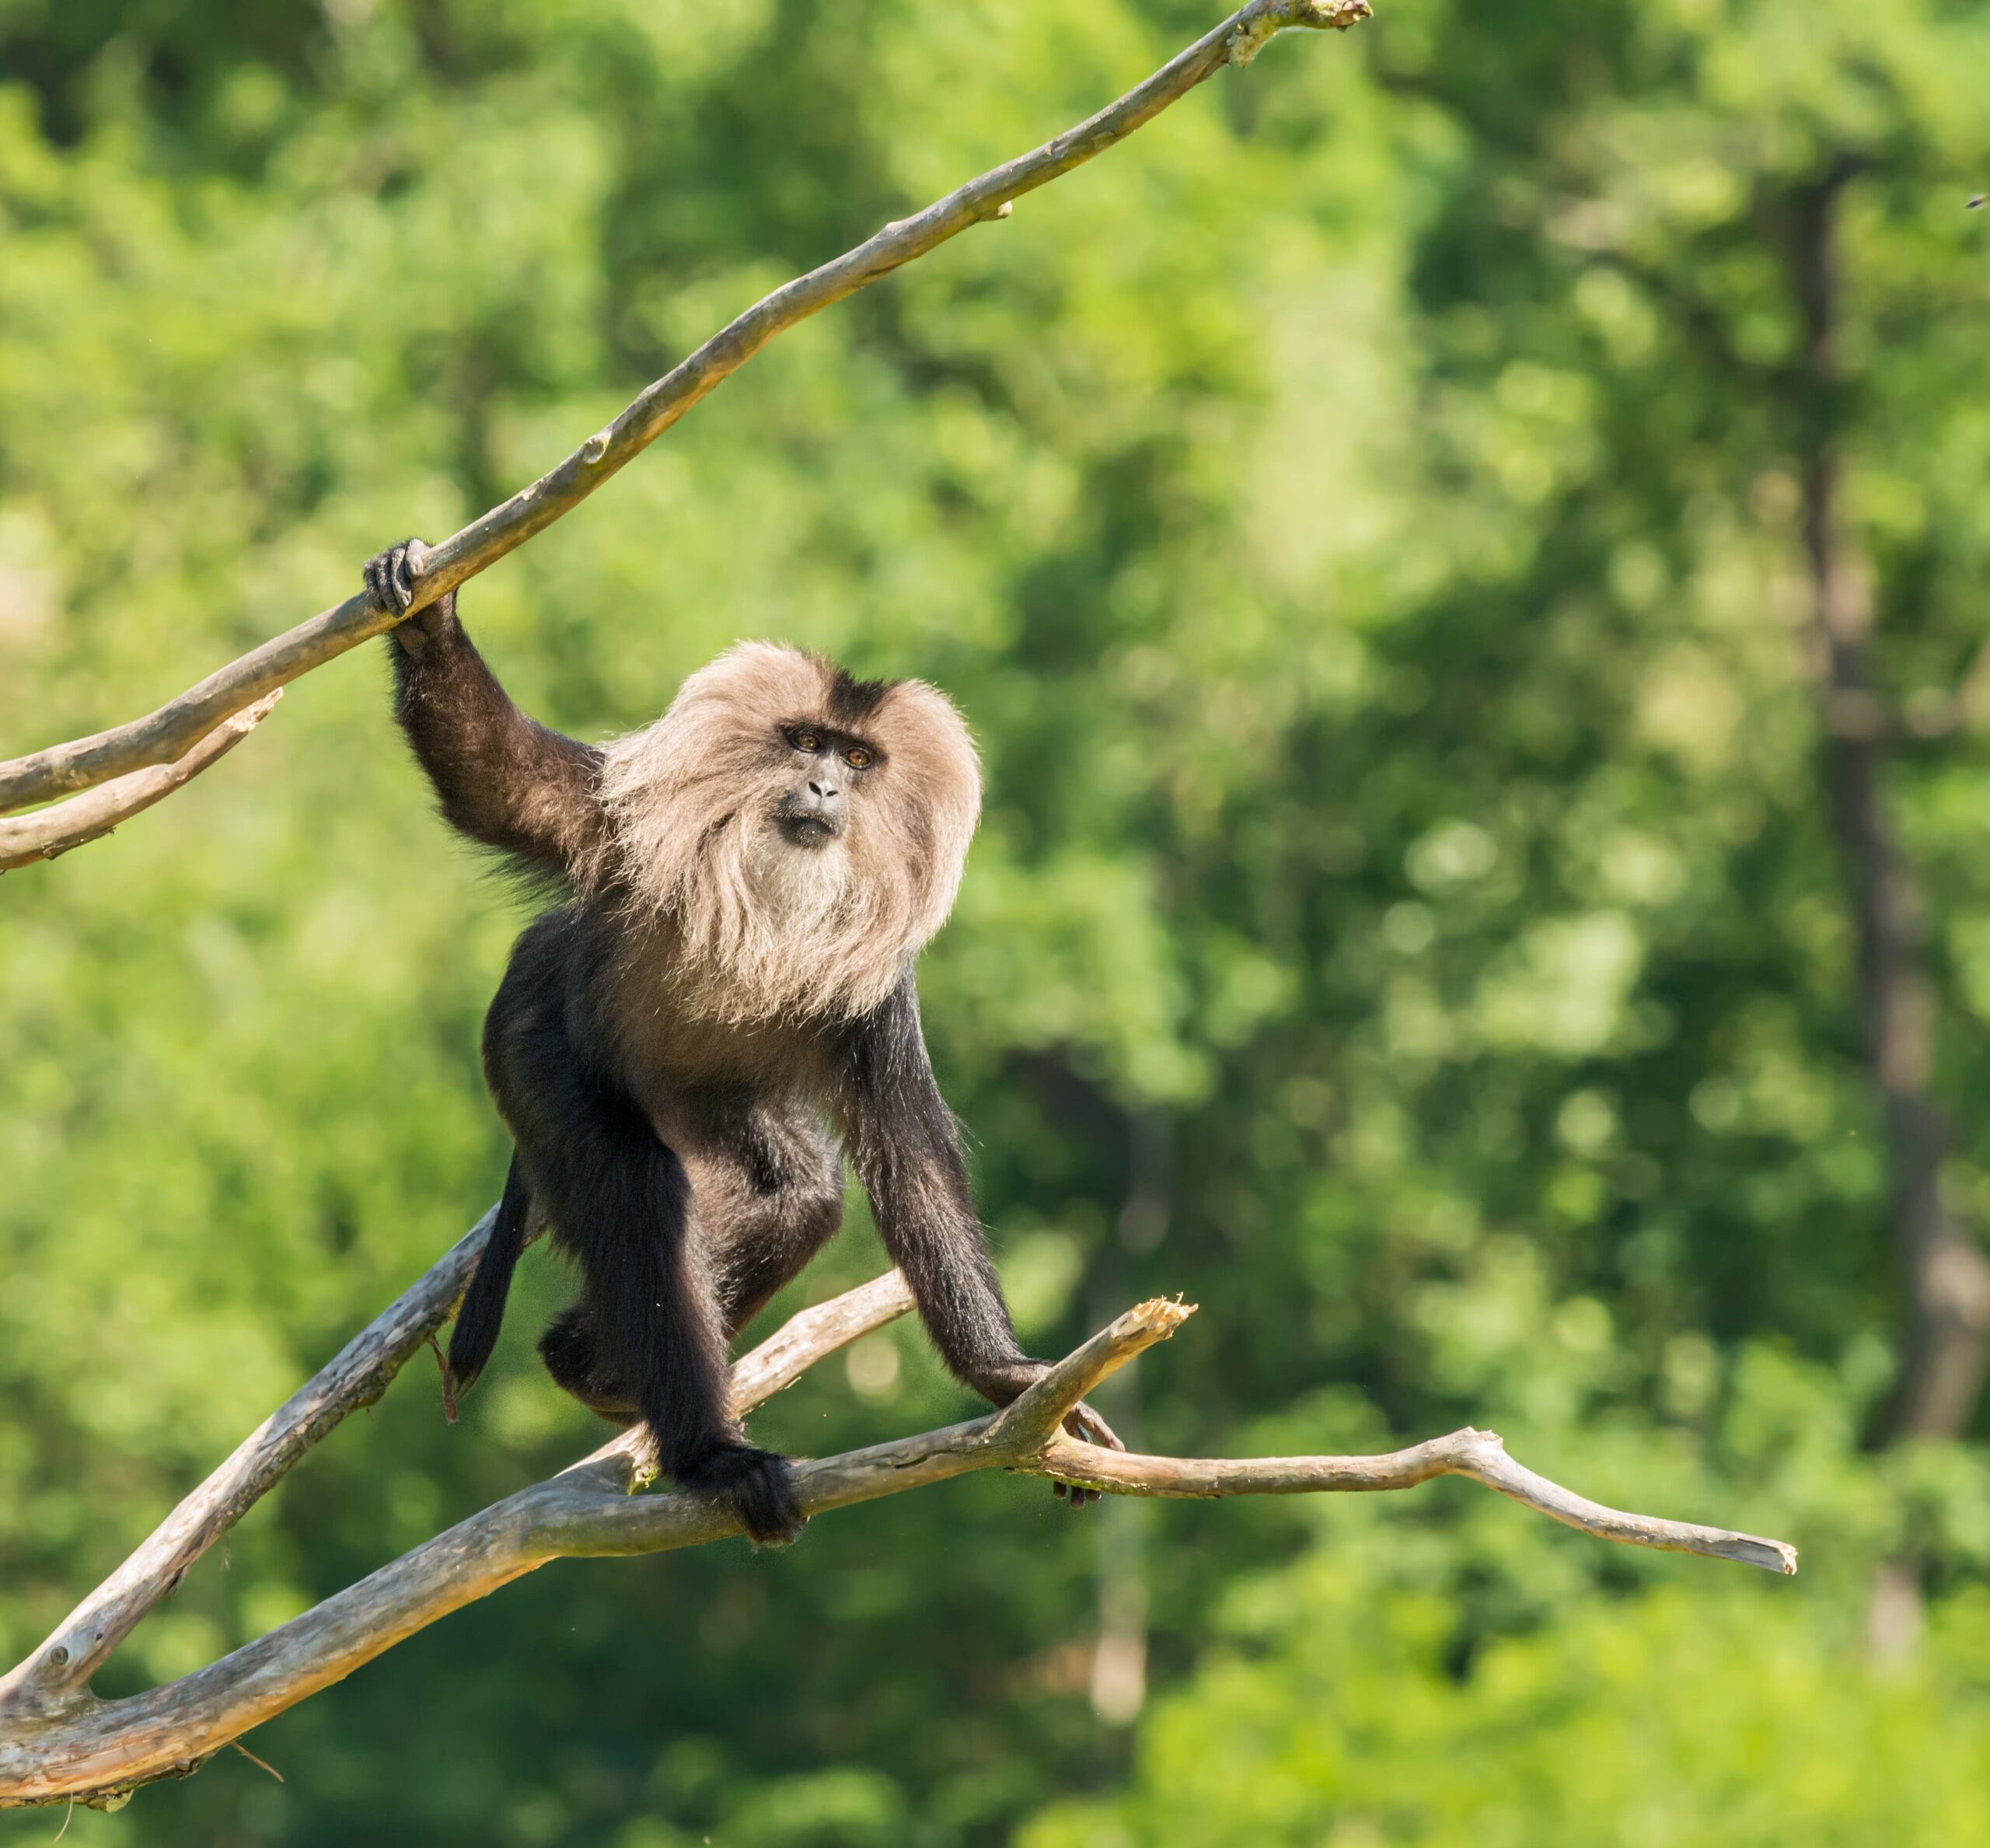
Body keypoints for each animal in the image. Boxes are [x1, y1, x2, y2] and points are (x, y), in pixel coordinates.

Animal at [368, 536, 1130, 1543]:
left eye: (858, 758)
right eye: (804, 743)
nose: (823, 787)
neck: (774, 895)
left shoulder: (876, 992)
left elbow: (910, 1157)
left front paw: (1008, 1378)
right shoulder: (628, 831)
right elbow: (503, 785)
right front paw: (427, 617)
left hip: (710, 1102)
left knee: (800, 1191)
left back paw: (590, 1364)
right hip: (533, 1037)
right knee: (634, 1189)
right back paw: (706, 1452)